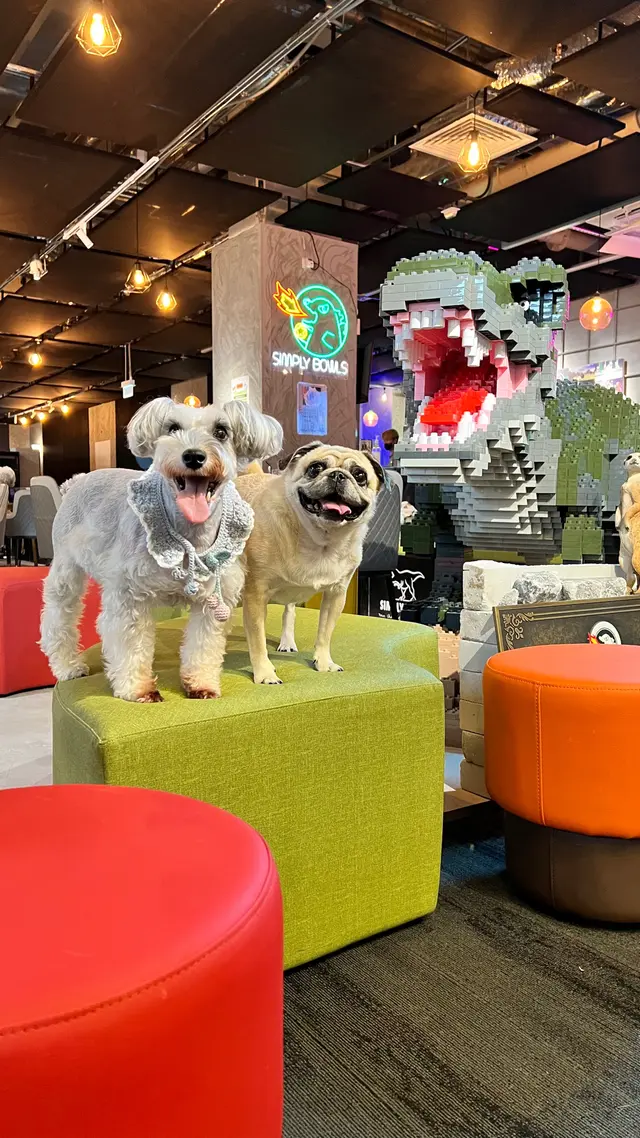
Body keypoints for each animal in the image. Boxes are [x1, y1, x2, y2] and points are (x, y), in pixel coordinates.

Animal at [40, 397, 282, 702]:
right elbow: (130, 644)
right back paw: (67, 666)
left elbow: (203, 646)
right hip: (66, 571)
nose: (193, 456)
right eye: (173, 428)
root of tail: (76, 480)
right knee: (58, 618)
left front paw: (201, 684)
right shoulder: (129, 597)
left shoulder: (213, 603)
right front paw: (137, 689)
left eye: (221, 431)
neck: (189, 534)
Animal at [237, 441, 384, 684]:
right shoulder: (255, 596)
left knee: (289, 611)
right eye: (315, 468)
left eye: (360, 475)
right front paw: (265, 673)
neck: (321, 540)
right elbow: (257, 641)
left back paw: (287, 641)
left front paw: (323, 663)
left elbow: (324, 633)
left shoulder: (336, 595)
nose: (338, 475)